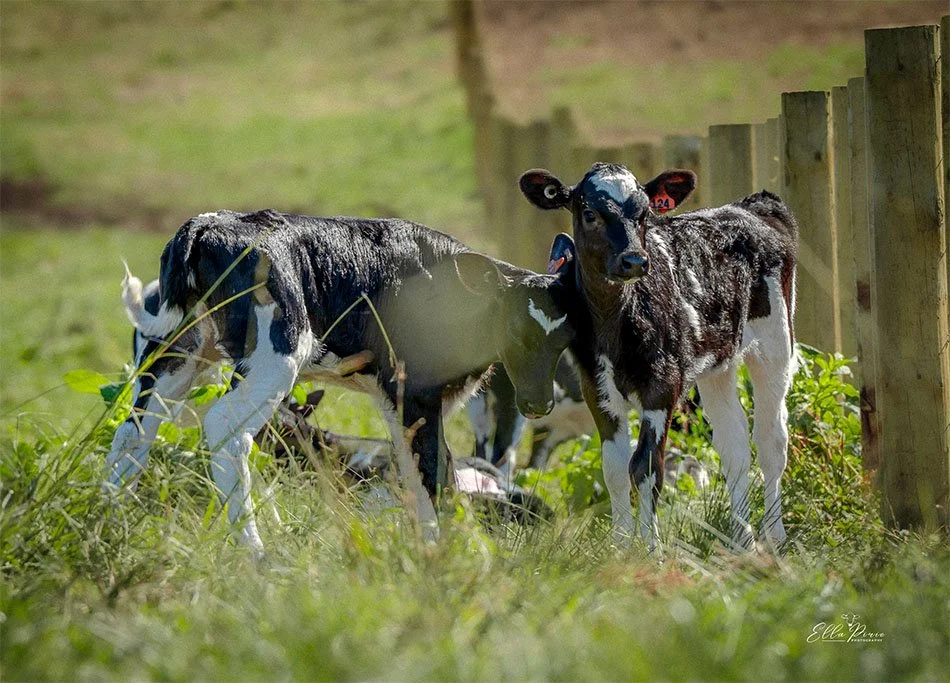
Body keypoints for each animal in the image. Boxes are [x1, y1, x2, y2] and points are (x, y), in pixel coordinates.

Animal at [107, 209, 575, 551]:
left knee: (134, 433)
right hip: (276, 358)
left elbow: (419, 470)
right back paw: (256, 555)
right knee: (226, 430)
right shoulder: (417, 390)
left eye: (567, 336)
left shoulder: (397, 398)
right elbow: (434, 475)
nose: (539, 403)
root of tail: (209, 223)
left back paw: (108, 523)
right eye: (516, 328)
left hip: (176, 356)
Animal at [520, 163, 798, 550]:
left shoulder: (663, 385)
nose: (635, 260)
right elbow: (615, 469)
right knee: (735, 444)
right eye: (590, 213)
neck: (616, 321)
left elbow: (646, 466)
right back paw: (741, 539)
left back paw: (774, 537)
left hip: (775, 343)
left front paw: (651, 549)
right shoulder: (597, 388)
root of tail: (751, 206)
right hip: (718, 364)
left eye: (645, 214)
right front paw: (621, 546)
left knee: (771, 440)